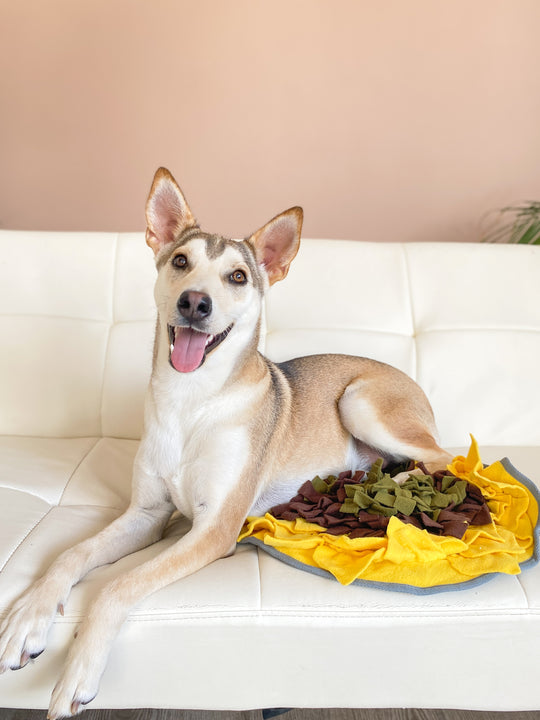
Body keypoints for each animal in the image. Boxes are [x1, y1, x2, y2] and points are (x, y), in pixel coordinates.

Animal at [0, 167, 452, 716]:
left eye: (238, 277)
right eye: (180, 261)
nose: (195, 302)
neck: (190, 402)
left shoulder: (213, 531)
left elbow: (118, 585)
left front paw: (78, 673)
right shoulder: (147, 515)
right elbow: (70, 555)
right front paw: (27, 618)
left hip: (359, 400)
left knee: (448, 458)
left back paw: (401, 480)